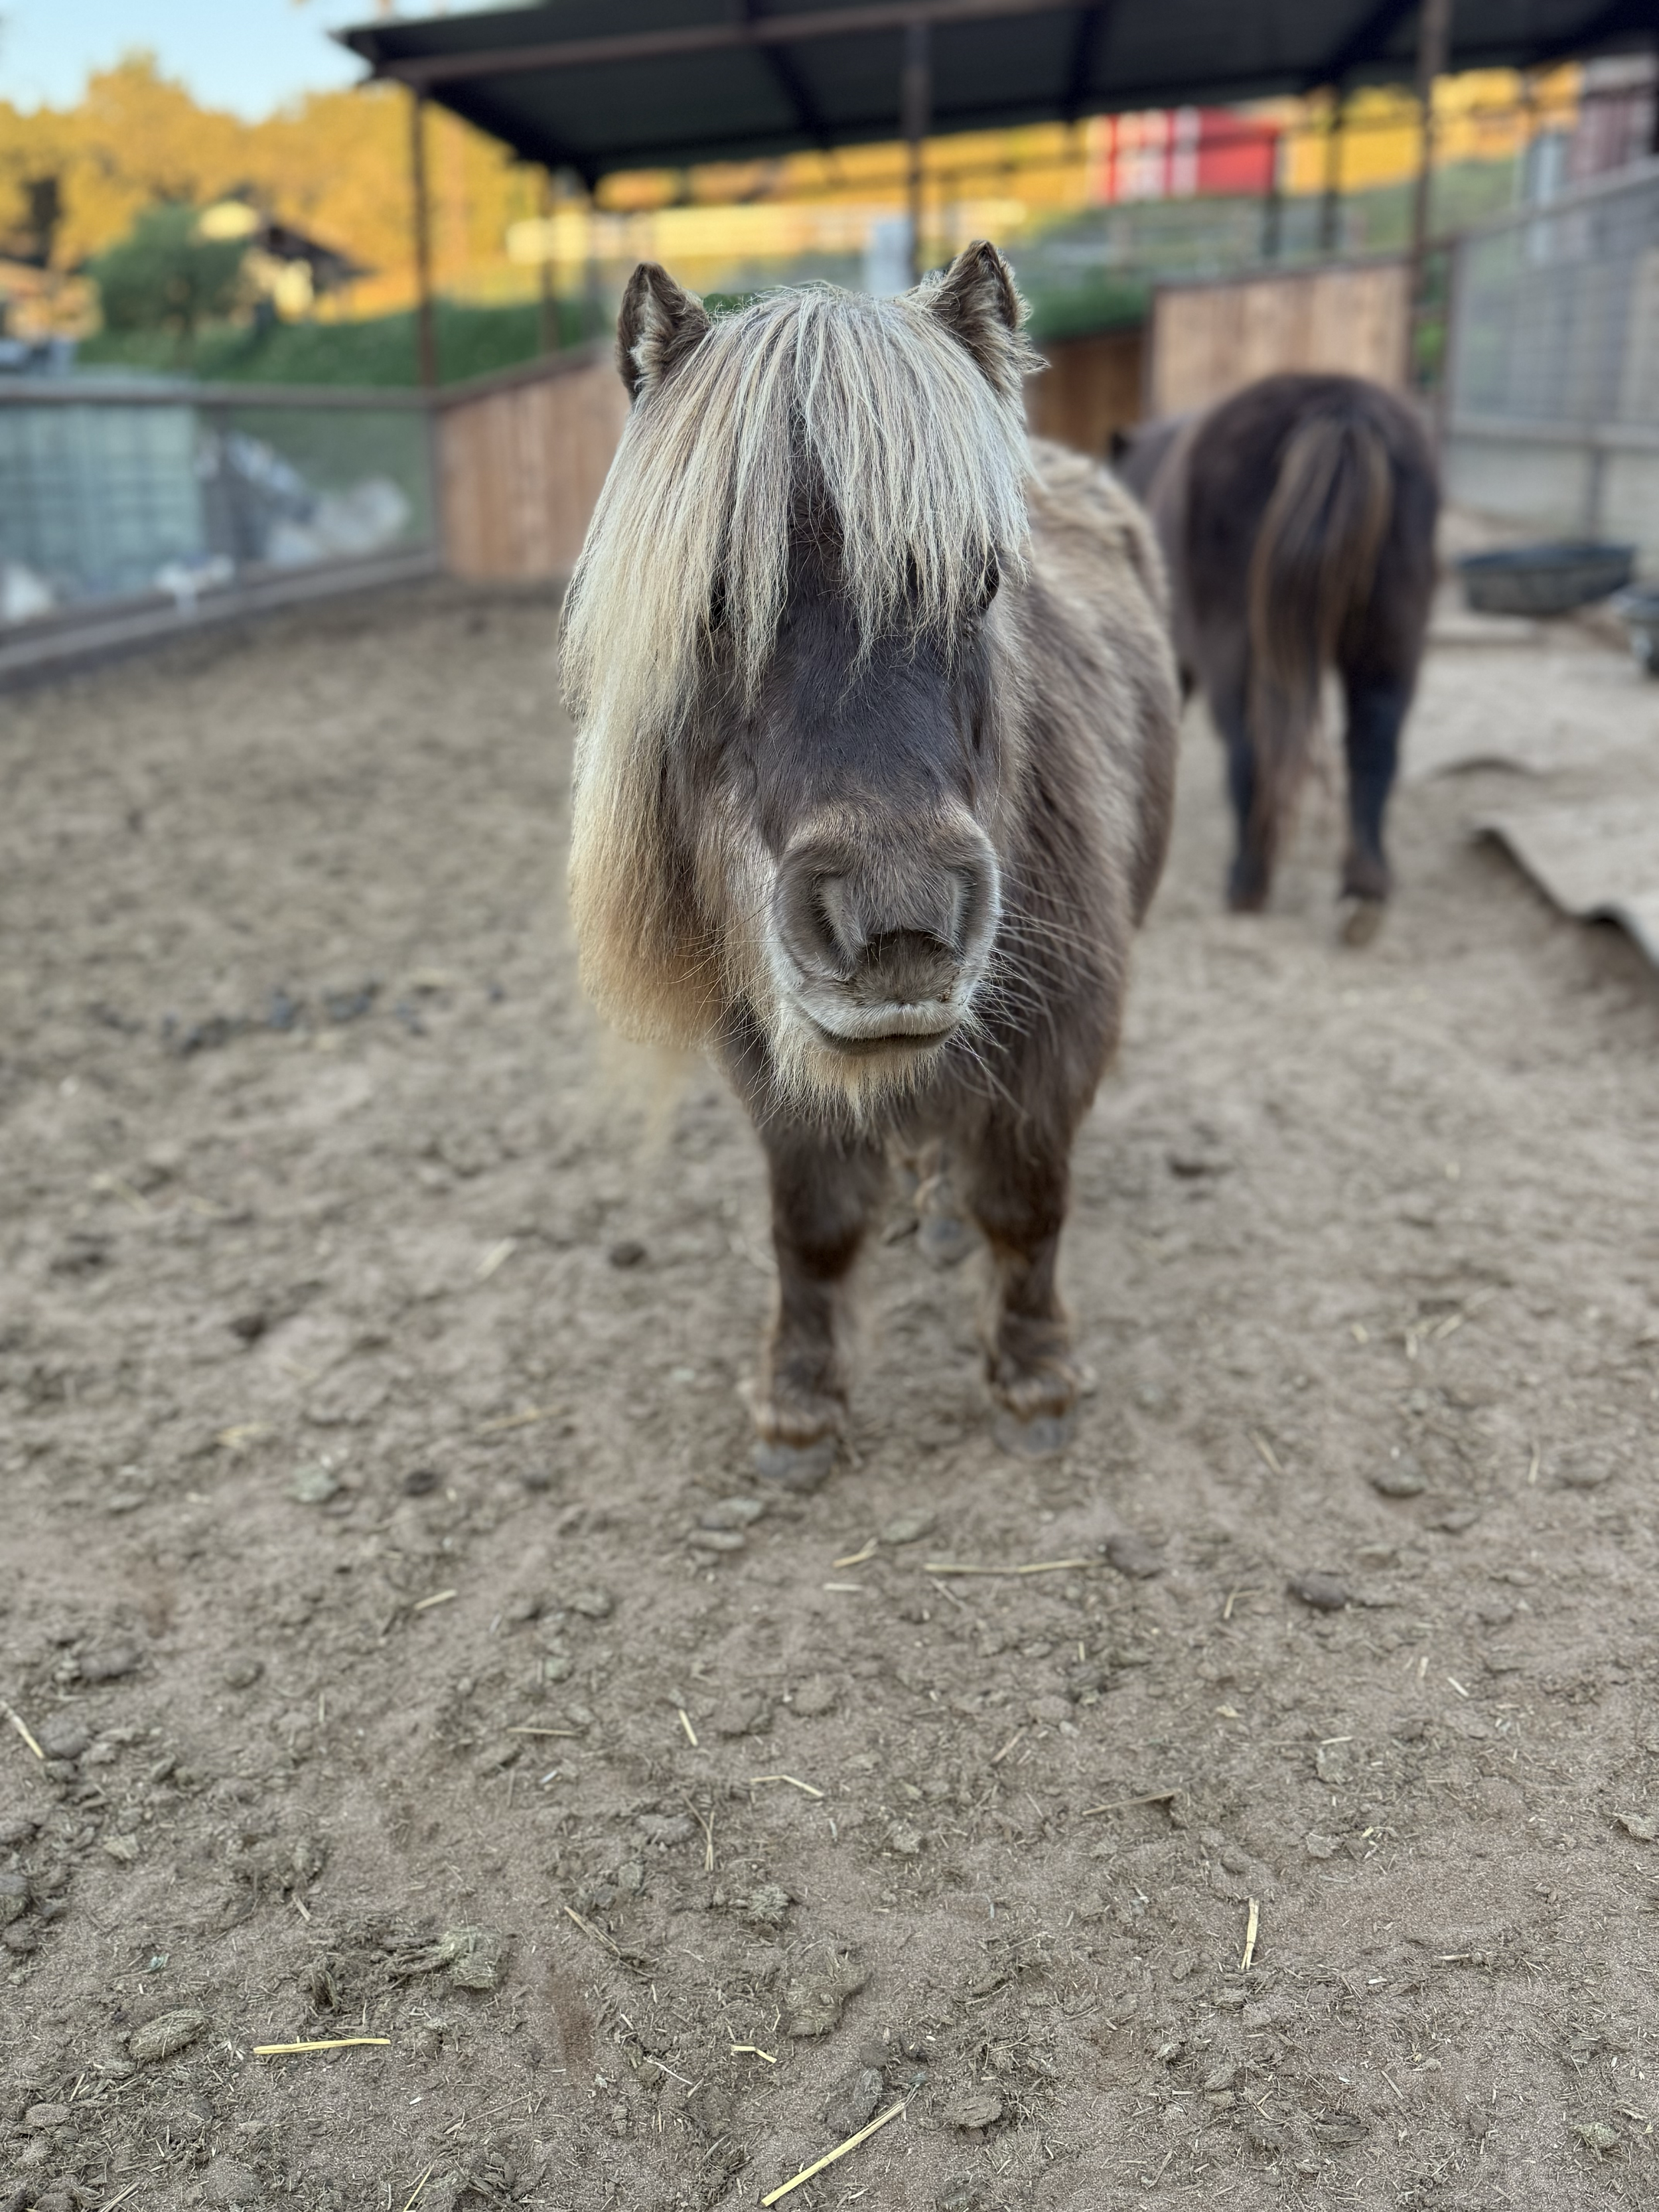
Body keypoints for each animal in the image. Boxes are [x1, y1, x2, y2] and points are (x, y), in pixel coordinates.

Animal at [562, 243, 1179, 1480]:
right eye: (713, 594)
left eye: (984, 579)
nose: (899, 922)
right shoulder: (768, 1056)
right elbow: (813, 1224)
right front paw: (799, 1400)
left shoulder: (1065, 1033)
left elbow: (1027, 1203)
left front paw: (1034, 1375)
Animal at [1115, 372, 1439, 940]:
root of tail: (1339, 407)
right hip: (1390, 646)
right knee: (1373, 750)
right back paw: (1363, 893)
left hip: (1241, 655)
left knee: (1251, 754)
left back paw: (1247, 882)